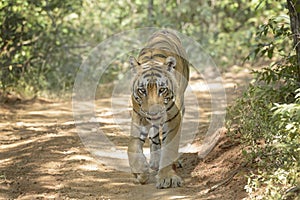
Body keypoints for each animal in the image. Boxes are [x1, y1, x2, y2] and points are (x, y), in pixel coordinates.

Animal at [127, 28, 190, 188]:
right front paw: (140, 170)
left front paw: (167, 178)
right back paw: (154, 162)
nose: (154, 113)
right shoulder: (138, 115)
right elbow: (132, 145)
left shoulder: (174, 118)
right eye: (142, 90)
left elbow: (169, 147)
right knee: (154, 136)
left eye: (162, 90)